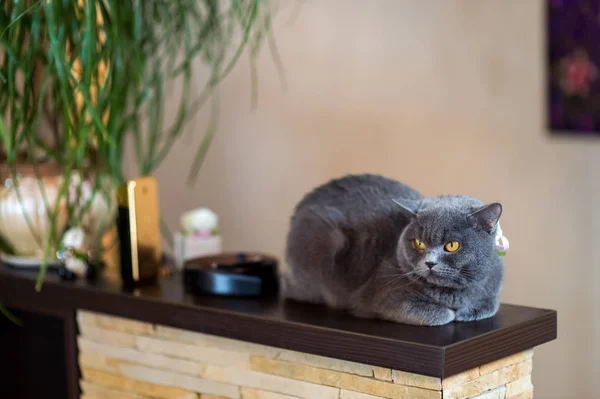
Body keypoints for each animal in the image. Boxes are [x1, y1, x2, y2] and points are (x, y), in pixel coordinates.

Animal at [284, 174, 504, 324]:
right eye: (419, 243)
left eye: (452, 245)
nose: (429, 263)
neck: (454, 294)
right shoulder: (383, 298)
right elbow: (435, 313)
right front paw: (450, 313)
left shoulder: (492, 284)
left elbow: (492, 303)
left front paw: (469, 311)